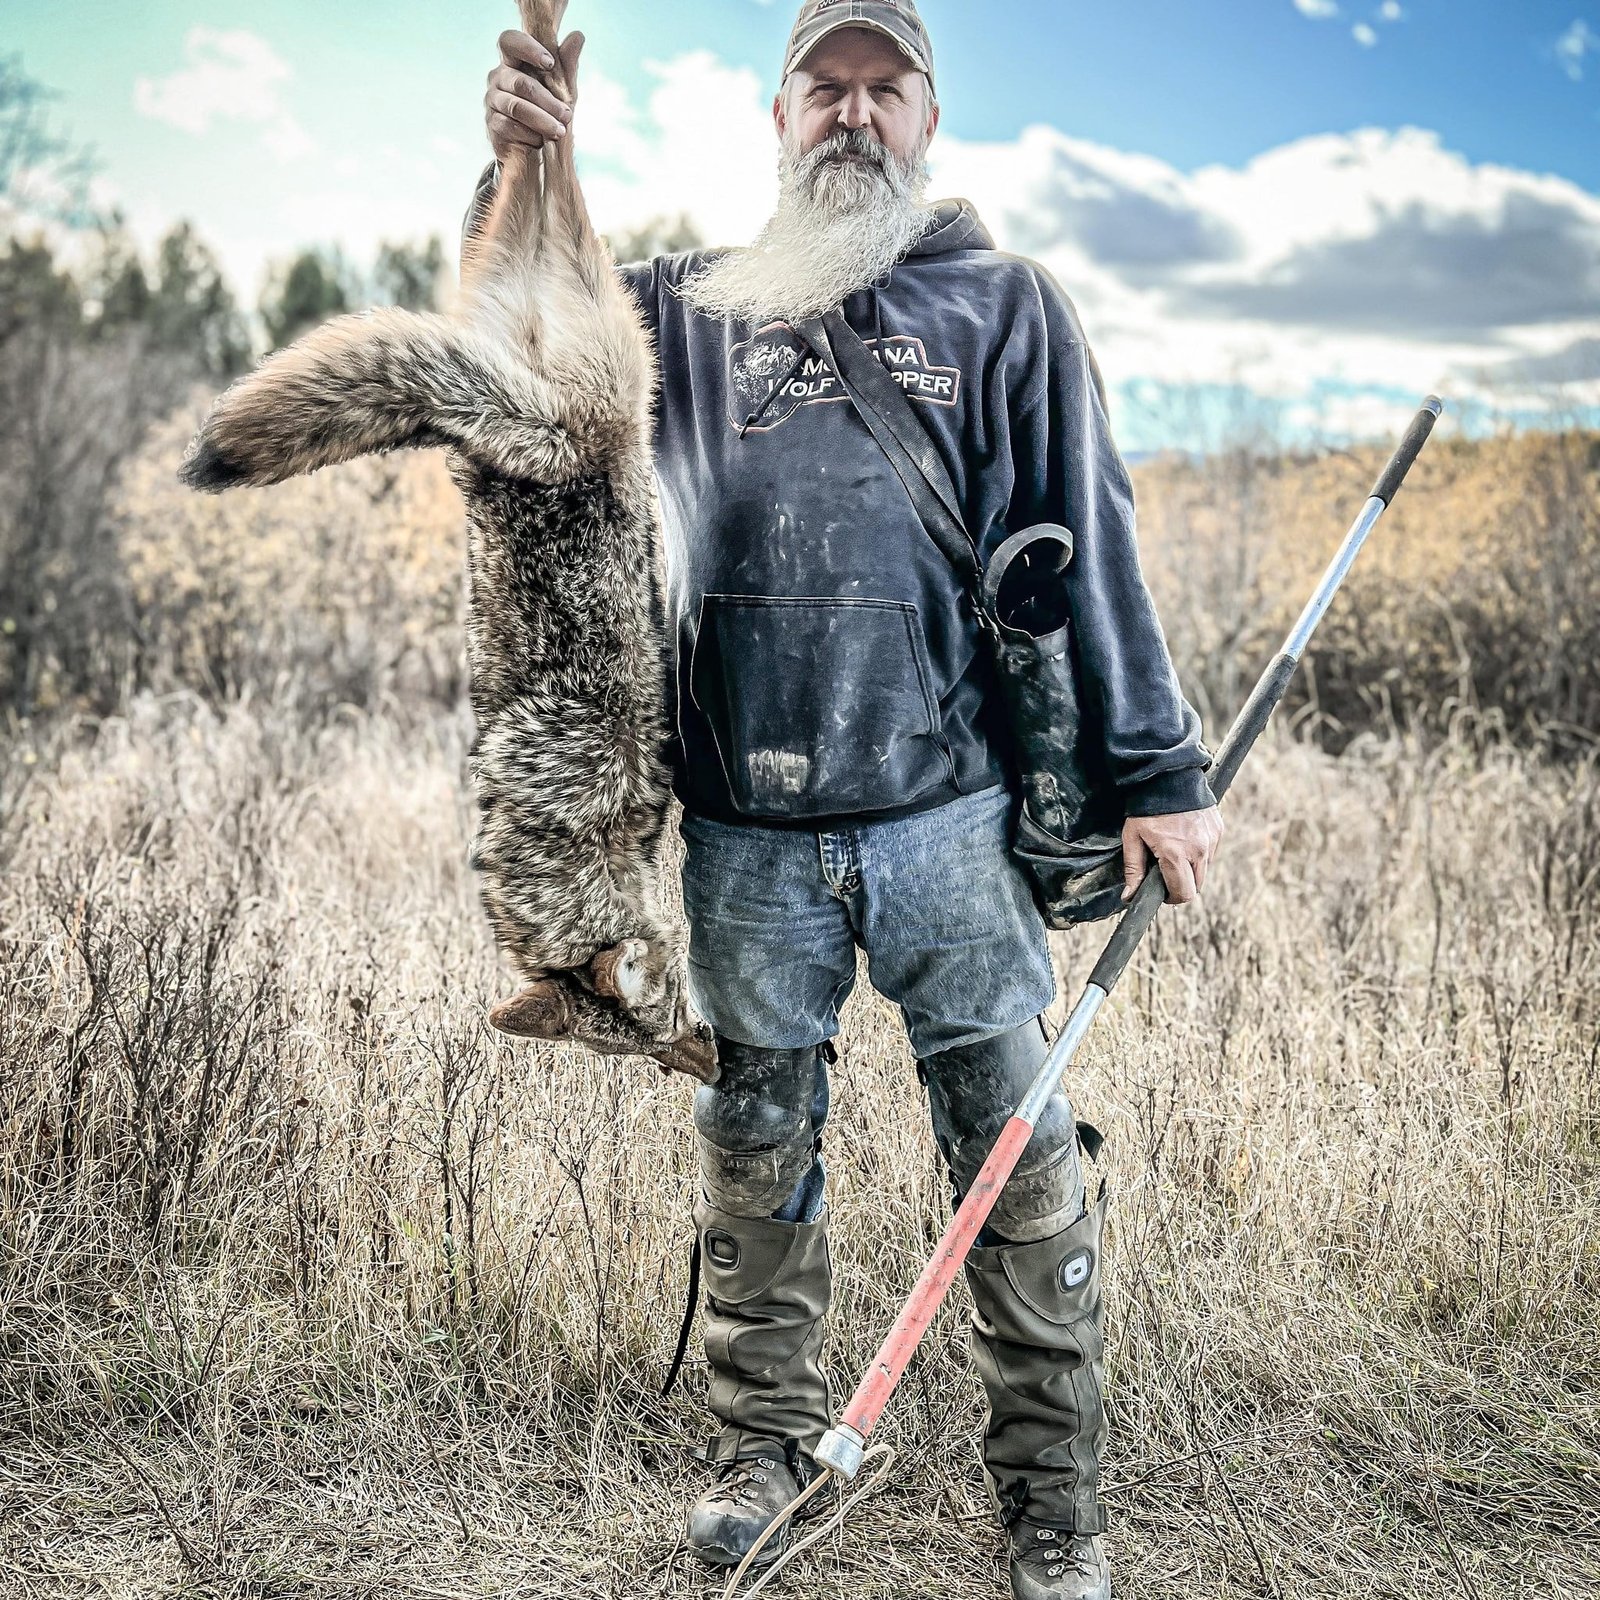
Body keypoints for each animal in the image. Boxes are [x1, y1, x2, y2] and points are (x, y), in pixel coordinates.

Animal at [179, 0, 717, 1083]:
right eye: (656, 1047)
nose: (714, 1061)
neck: (563, 823)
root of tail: (528, 419)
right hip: (582, 314)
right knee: (540, 169)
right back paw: (539, 79)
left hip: (576, 317)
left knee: (543, 165)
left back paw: (543, 66)